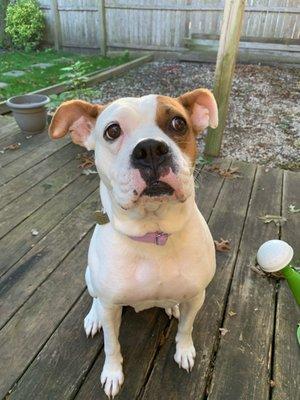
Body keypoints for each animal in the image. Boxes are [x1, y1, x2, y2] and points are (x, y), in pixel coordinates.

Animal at [49, 87, 218, 396]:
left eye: (178, 123)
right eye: (112, 131)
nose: (150, 149)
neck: (153, 235)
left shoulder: (197, 295)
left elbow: (186, 328)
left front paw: (184, 350)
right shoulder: (111, 306)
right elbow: (111, 344)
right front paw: (112, 373)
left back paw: (171, 306)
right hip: (91, 279)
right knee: (94, 300)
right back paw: (93, 318)